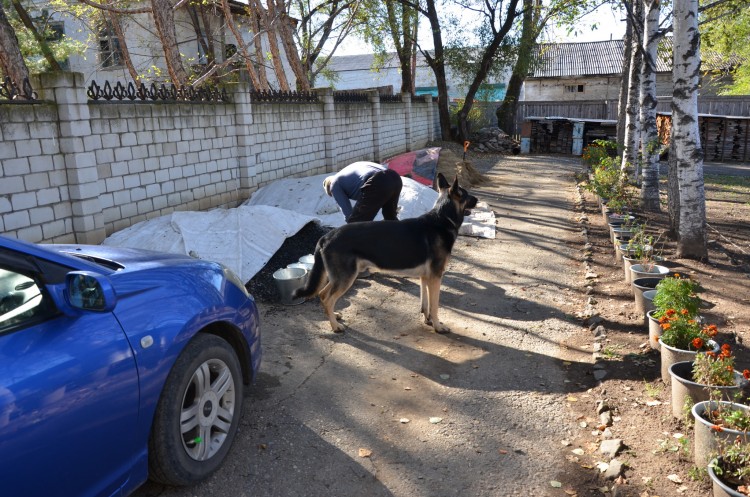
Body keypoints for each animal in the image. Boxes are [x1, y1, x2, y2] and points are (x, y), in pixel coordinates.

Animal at [290, 173, 478, 334]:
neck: (443, 219)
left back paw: (334, 317)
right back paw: (335, 326)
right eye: (466, 195)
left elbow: (425, 304)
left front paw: (428, 321)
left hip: (339, 277)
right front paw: (438, 326)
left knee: (323, 295)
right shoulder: (435, 278)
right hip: (346, 277)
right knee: (326, 298)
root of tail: (326, 236)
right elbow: (435, 305)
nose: (477, 200)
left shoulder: (426, 277)